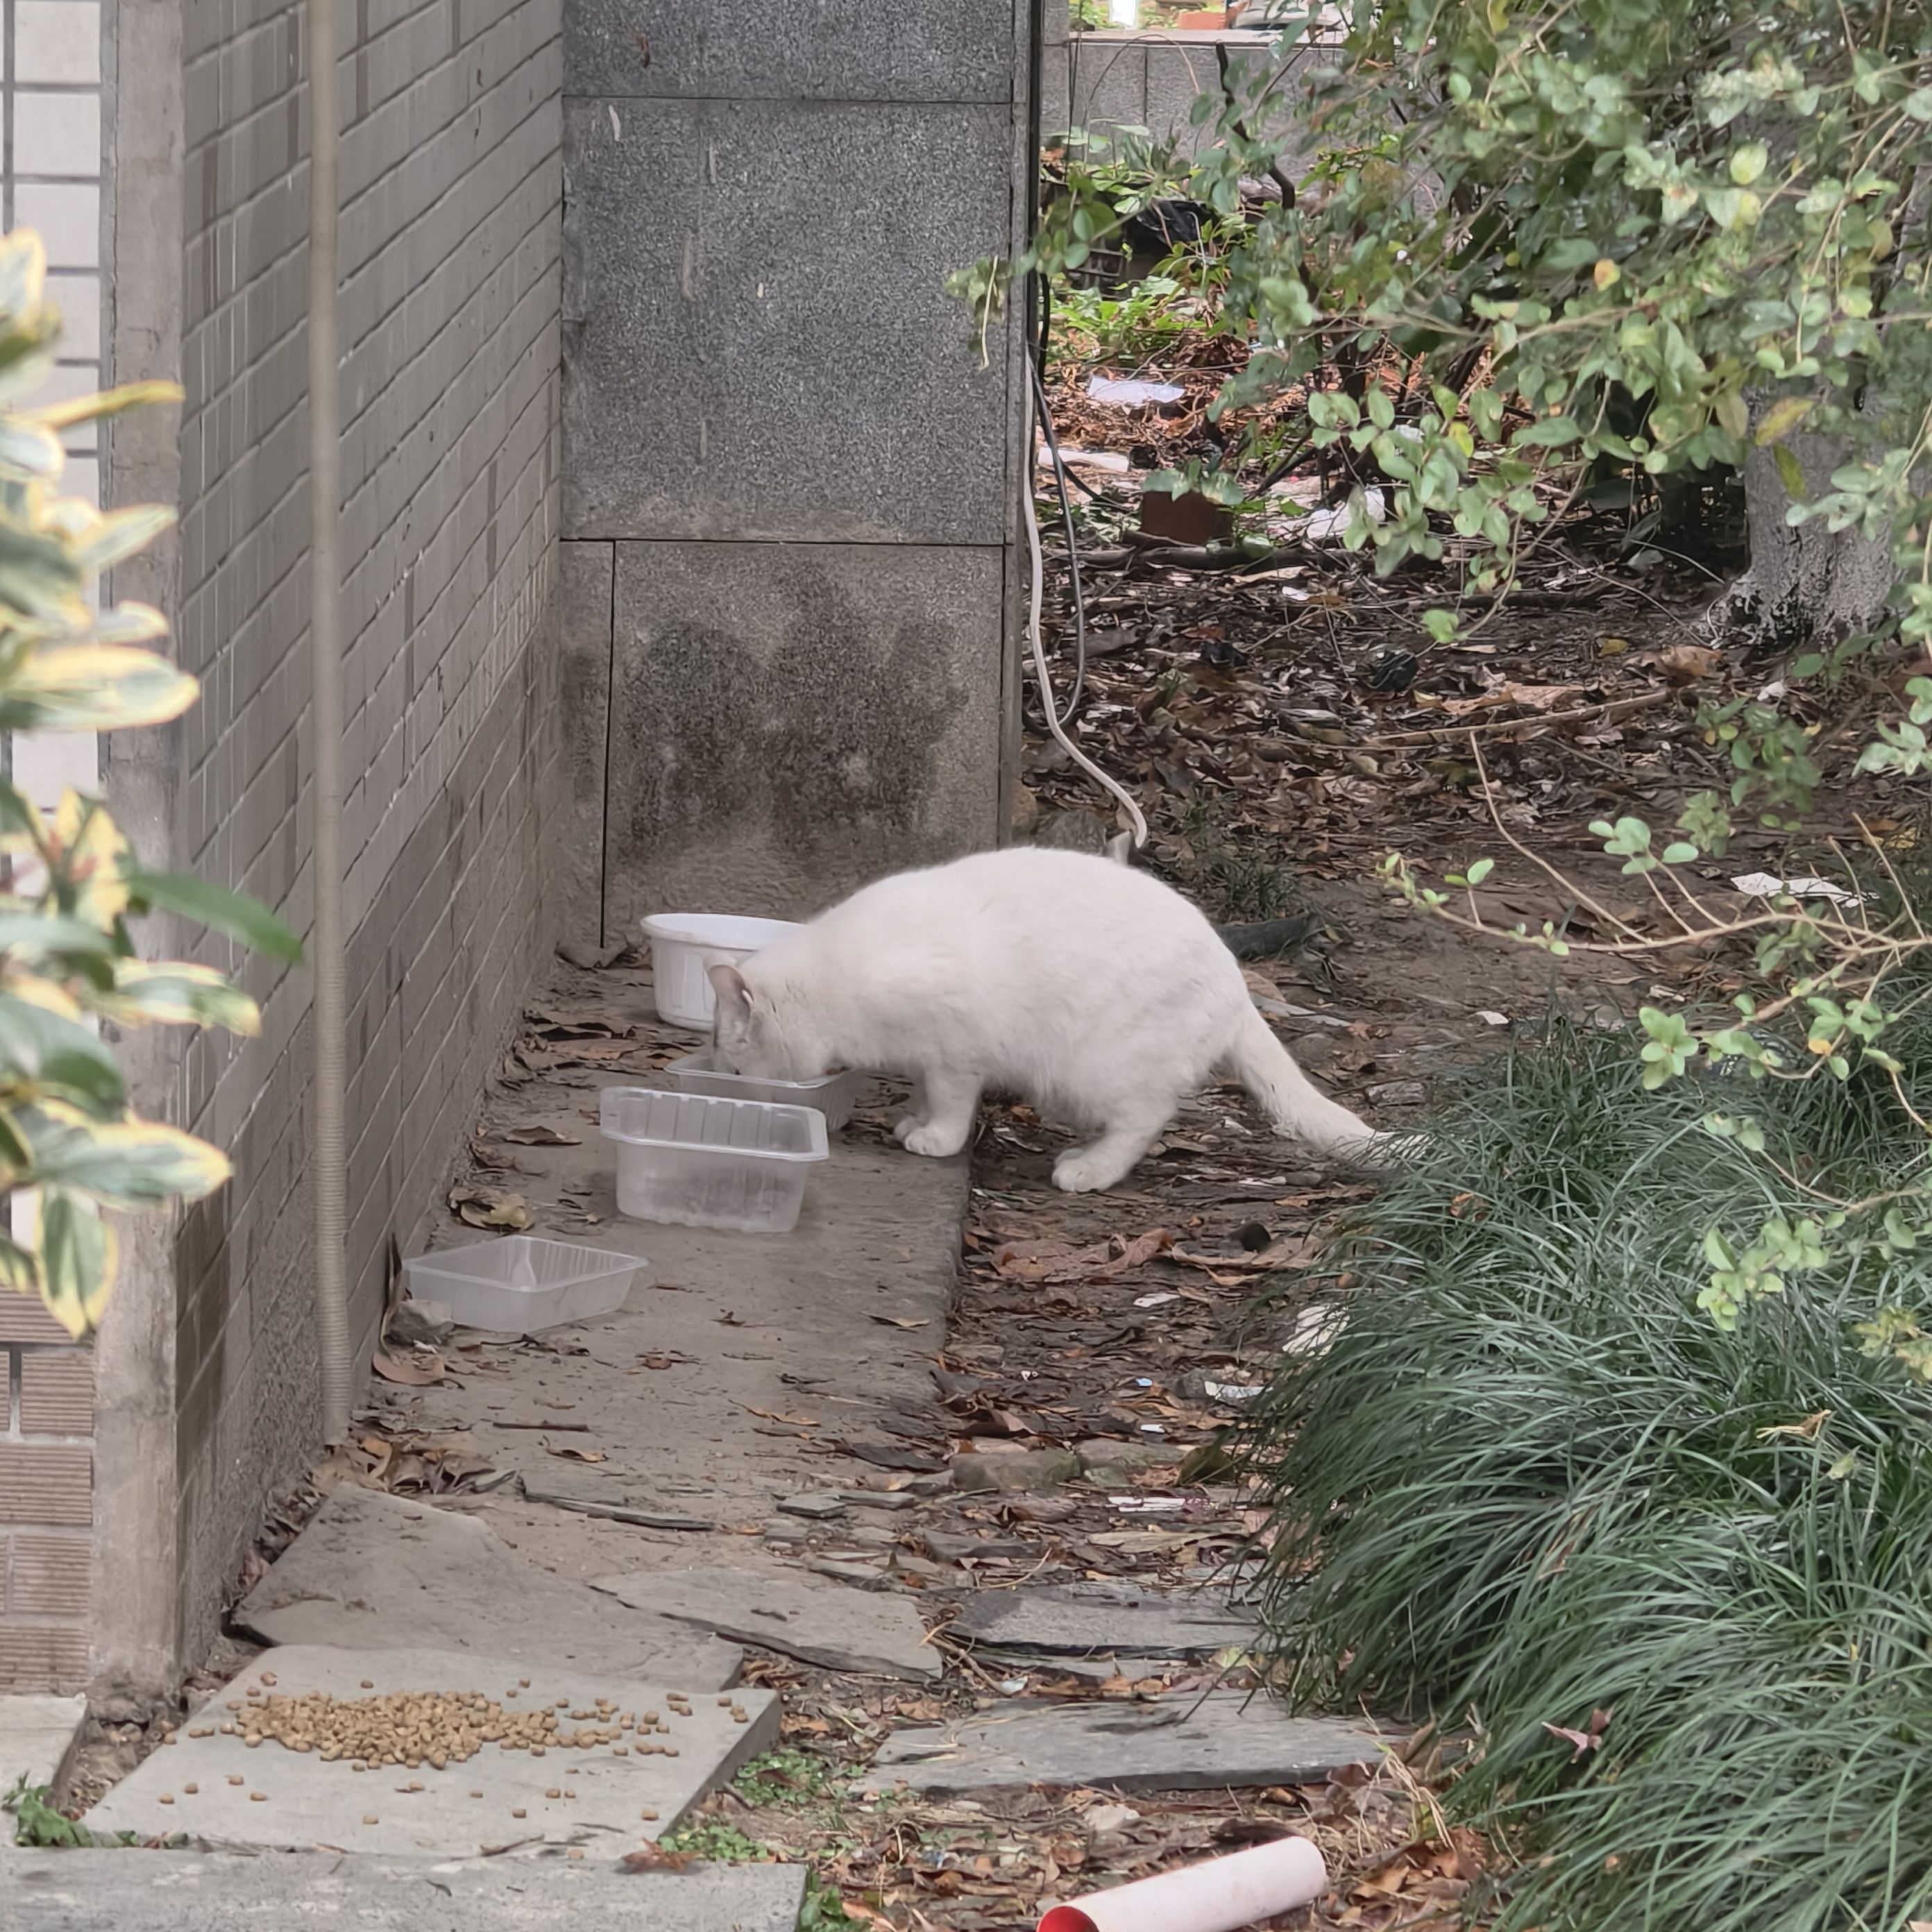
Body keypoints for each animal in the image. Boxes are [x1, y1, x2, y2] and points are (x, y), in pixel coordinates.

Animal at [706, 847, 1386, 1193]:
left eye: (734, 1066)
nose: (733, 1087)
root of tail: (1235, 982)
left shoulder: (957, 1050)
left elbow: (951, 1103)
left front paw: (936, 1139)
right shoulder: (928, 1055)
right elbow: (924, 1092)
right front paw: (913, 1123)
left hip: (1094, 1071)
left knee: (1147, 1118)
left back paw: (1088, 1170)